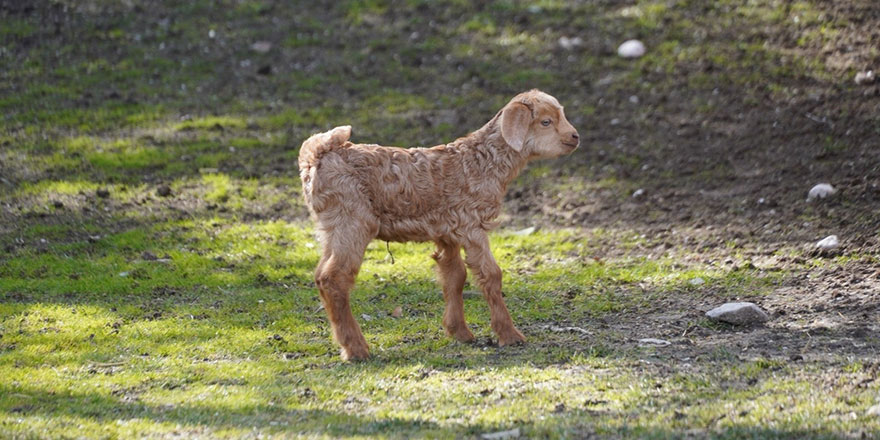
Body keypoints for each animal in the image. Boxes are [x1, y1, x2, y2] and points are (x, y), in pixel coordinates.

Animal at [300, 89, 580, 360]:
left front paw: (460, 332)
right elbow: (490, 274)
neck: (483, 163)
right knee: (334, 278)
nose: (575, 137)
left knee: (320, 275)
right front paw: (510, 335)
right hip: (353, 219)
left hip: (331, 226)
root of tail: (315, 156)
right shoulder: (471, 224)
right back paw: (357, 349)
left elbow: (455, 275)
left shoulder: (447, 229)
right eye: (546, 121)